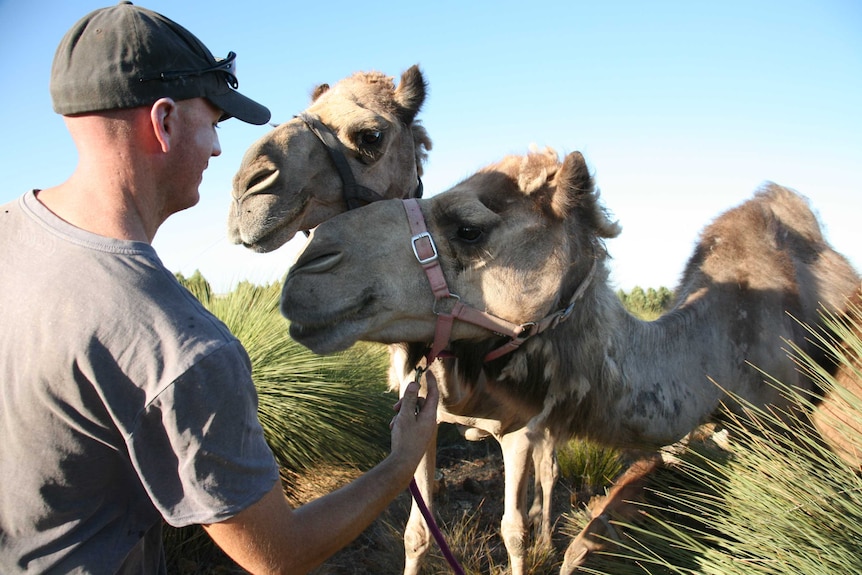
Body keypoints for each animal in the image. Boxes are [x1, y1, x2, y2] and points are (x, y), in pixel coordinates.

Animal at [226, 65, 556, 572]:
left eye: (370, 136)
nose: (247, 188)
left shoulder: (515, 427)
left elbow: (512, 533)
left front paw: (531, 539)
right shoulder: (421, 416)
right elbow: (418, 531)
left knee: (550, 466)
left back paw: (549, 539)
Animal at [280, 147, 860, 572]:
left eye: (469, 228)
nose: (307, 270)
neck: (722, 345)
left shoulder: (785, 427)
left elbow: (512, 528)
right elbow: (417, 530)